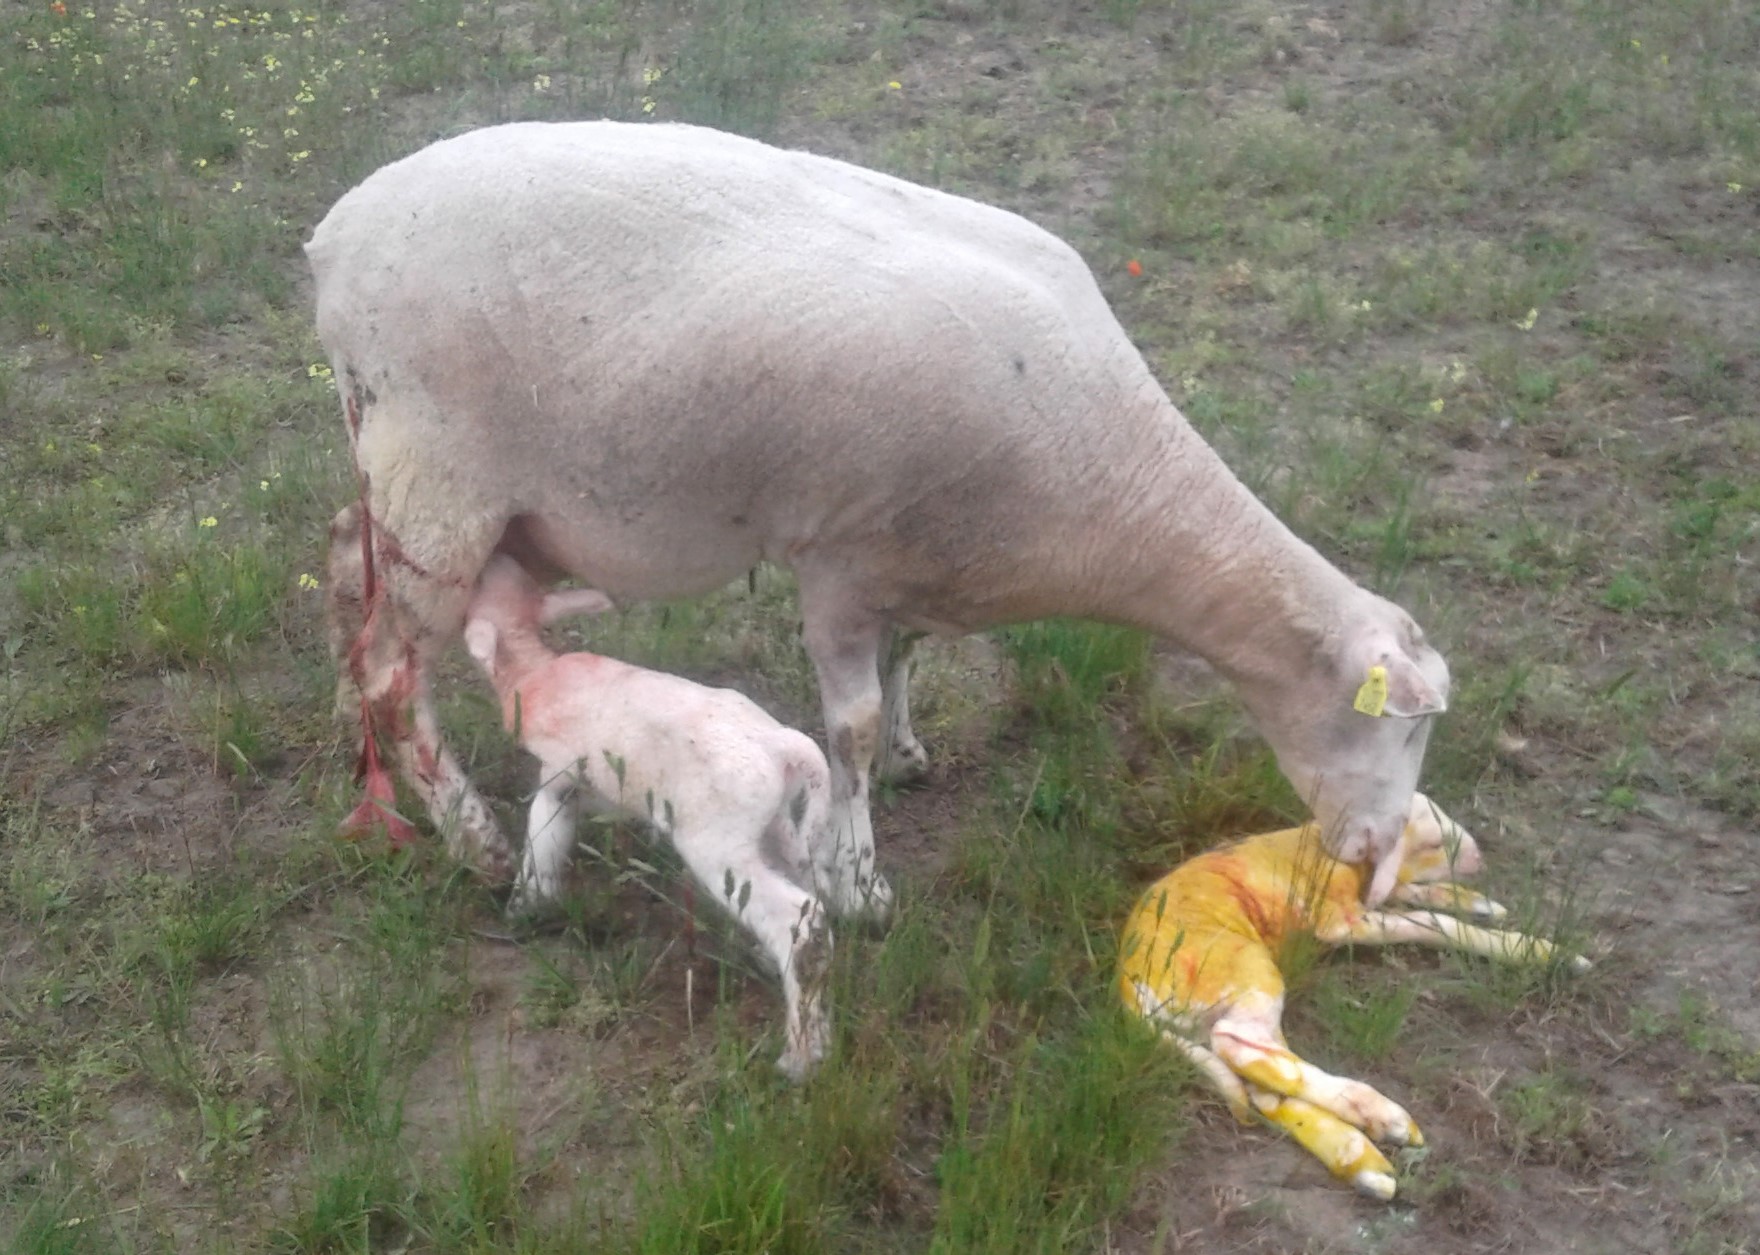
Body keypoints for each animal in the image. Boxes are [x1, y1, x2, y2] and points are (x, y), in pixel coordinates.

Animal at [309, 119, 1450, 922]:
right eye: (1391, 722)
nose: (1372, 856)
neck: (1108, 485)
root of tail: (334, 236)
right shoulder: (839, 560)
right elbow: (845, 728)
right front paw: (859, 881)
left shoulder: (909, 548)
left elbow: (906, 662)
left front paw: (906, 752)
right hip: (437, 480)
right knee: (394, 672)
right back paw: (473, 841)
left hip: (397, 468)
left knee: (343, 570)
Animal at [461, 552, 830, 1084]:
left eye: (477, 588)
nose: (493, 555)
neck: (533, 670)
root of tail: (782, 744)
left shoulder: (559, 773)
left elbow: (542, 834)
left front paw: (525, 905)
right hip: (772, 825)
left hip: (716, 842)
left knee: (799, 919)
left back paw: (800, 1055)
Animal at [1119, 792, 1591, 1196]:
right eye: (1435, 842)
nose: (1479, 860)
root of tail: (1126, 981)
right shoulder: (1338, 919)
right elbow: (1428, 923)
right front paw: (1540, 950)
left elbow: (1414, 896)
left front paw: (1484, 906)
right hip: (1244, 970)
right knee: (1243, 1047)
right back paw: (1386, 1119)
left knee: (1260, 1087)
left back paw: (1365, 1164)